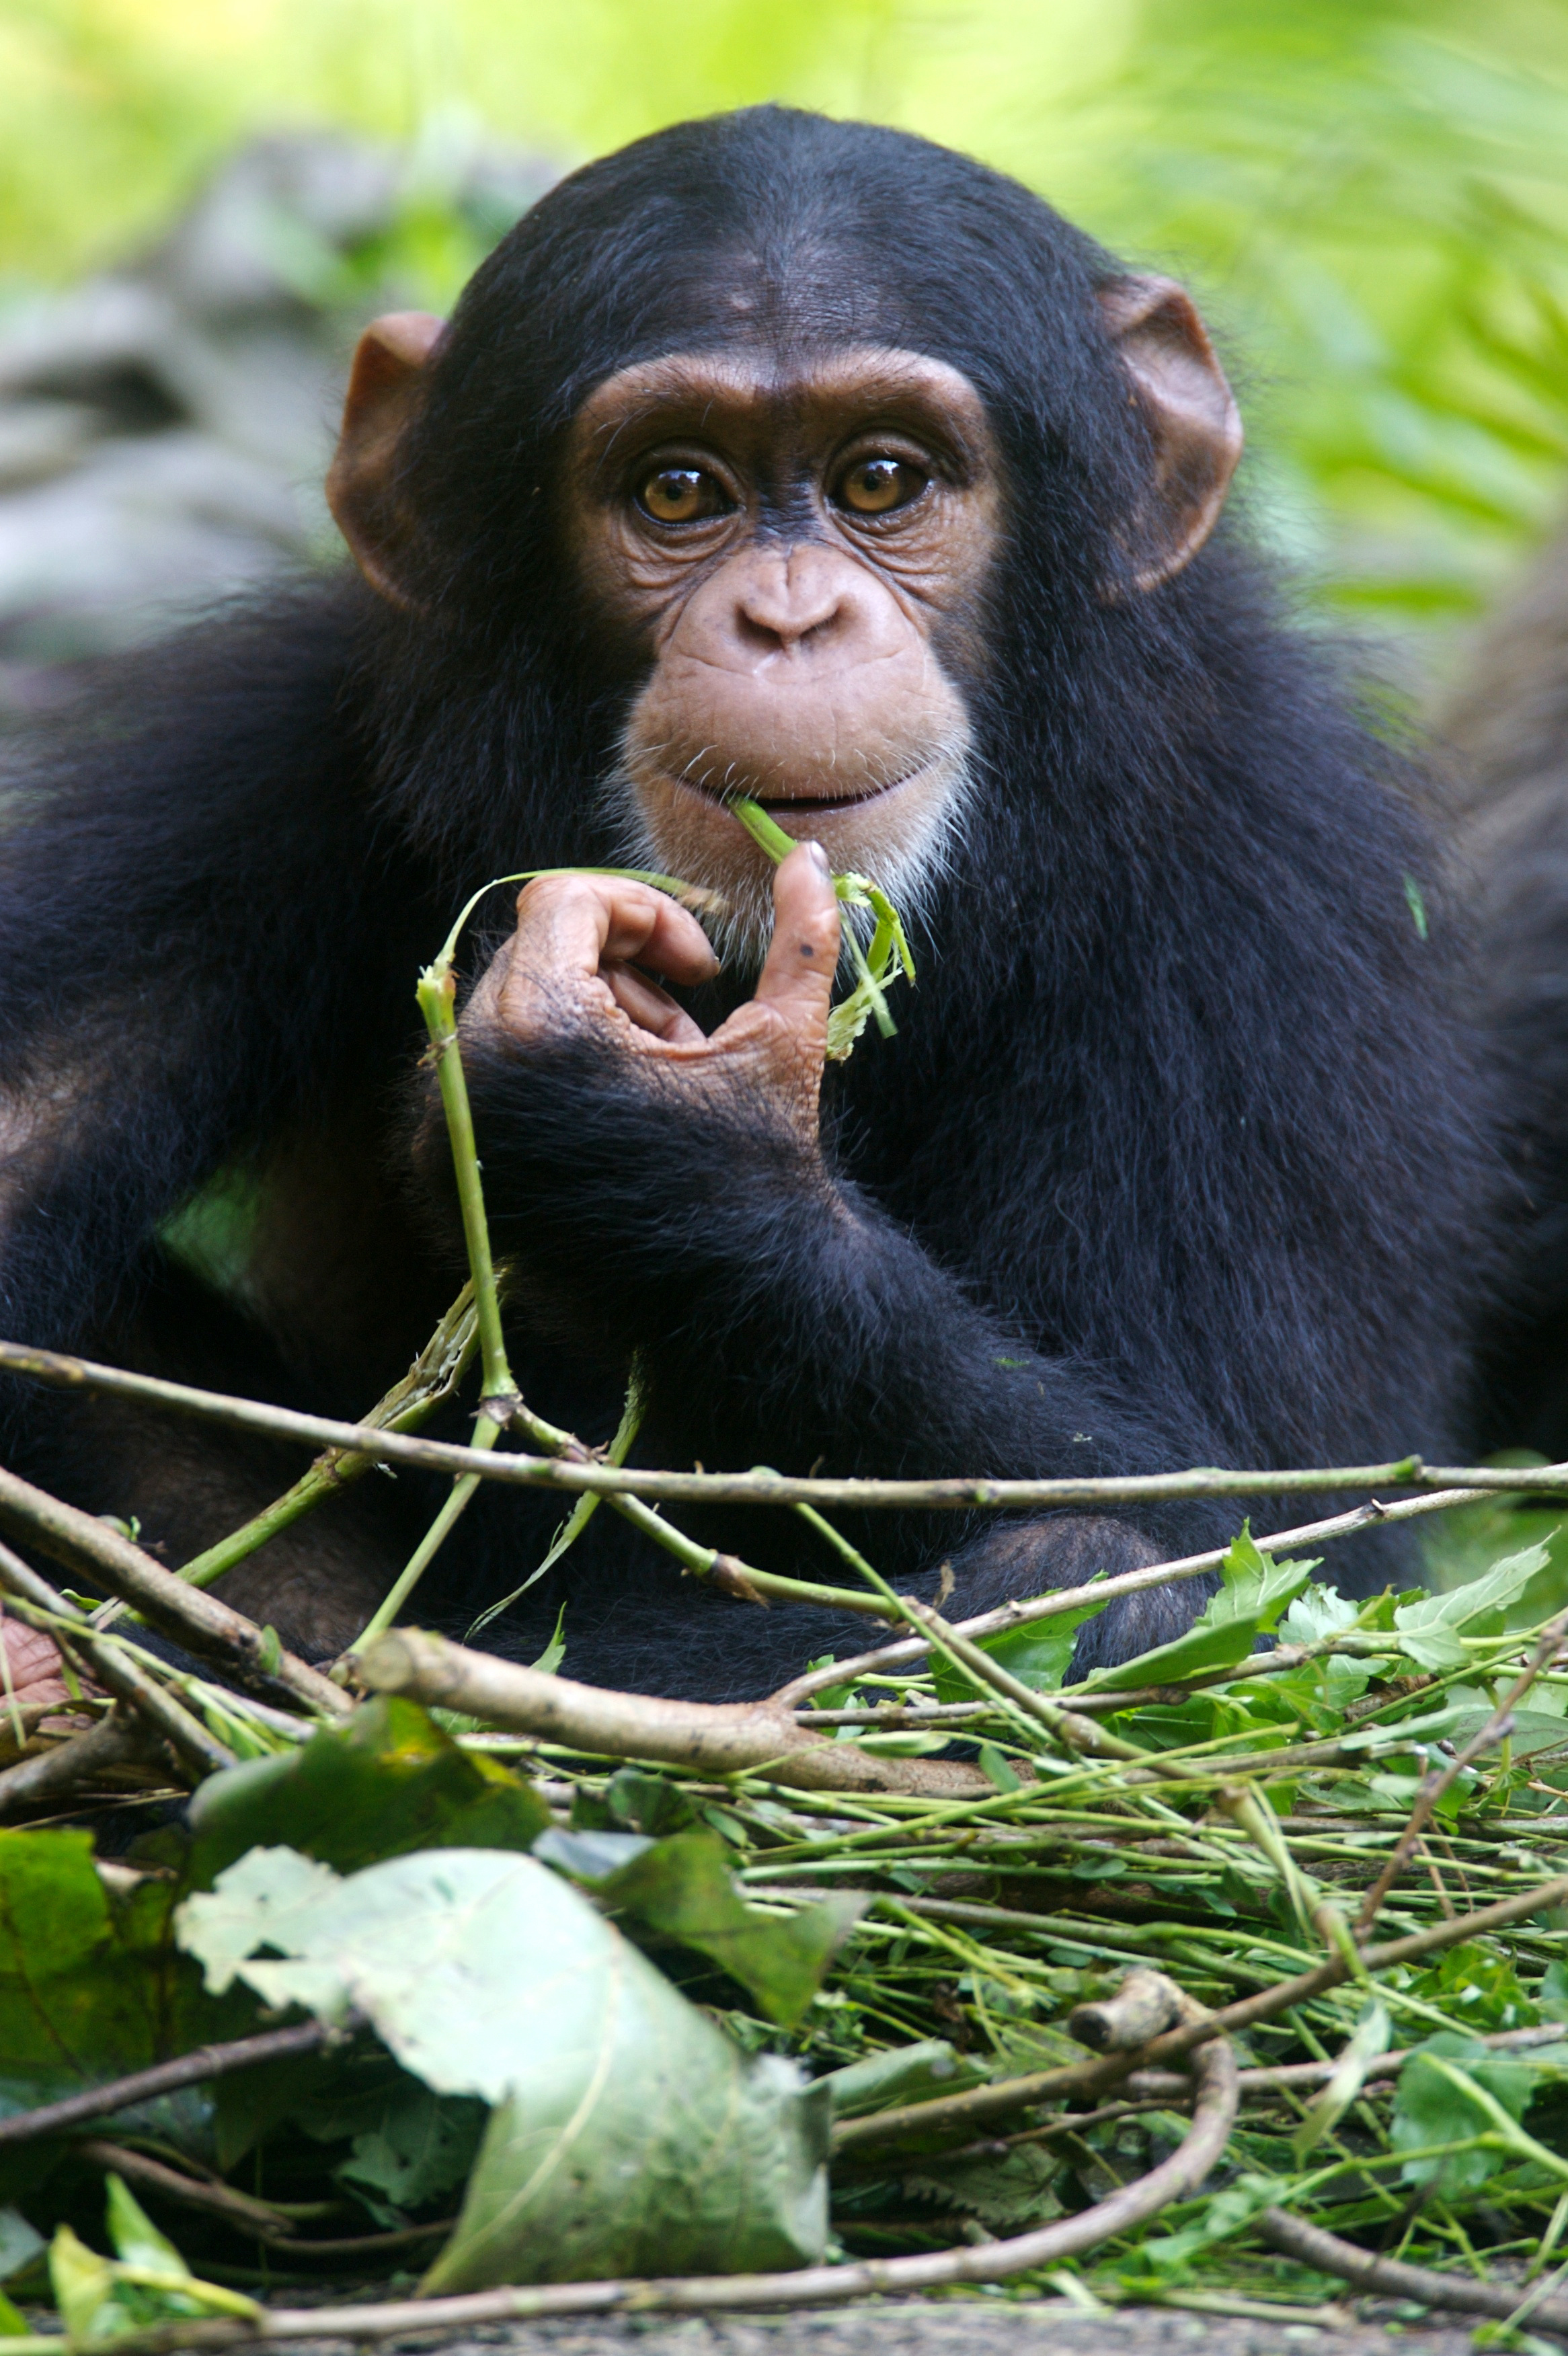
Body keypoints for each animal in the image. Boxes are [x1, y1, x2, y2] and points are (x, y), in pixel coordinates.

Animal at [0, 106, 1487, 1696]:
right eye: (678, 489)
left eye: (882, 480)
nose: (787, 616)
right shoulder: (259, 755)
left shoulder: (1272, 894)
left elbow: (1272, 1527)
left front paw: (651, 1143)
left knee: (1104, 1571)